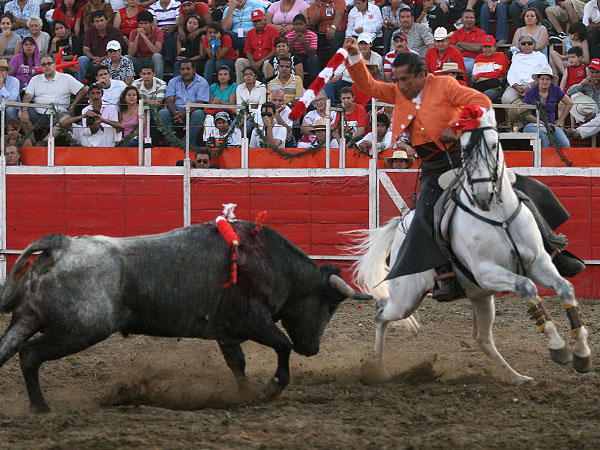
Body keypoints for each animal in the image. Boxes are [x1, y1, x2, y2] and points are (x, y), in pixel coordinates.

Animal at [0, 221, 370, 412]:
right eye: (330, 305)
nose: (313, 348)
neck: (272, 262)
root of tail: (61, 247)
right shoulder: (253, 322)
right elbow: (282, 346)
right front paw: (271, 387)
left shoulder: (226, 332)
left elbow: (237, 364)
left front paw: (245, 393)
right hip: (81, 329)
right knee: (30, 354)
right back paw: (41, 407)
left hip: (26, 319)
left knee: (9, 350)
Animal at [352, 106, 592, 384]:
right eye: (465, 149)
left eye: (494, 143)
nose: (484, 194)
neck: (498, 215)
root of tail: (403, 223)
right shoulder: (486, 271)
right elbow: (527, 287)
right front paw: (558, 347)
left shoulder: (538, 262)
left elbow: (565, 288)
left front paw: (582, 353)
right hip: (407, 297)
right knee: (381, 312)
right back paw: (376, 369)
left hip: (480, 296)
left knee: (483, 339)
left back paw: (517, 377)